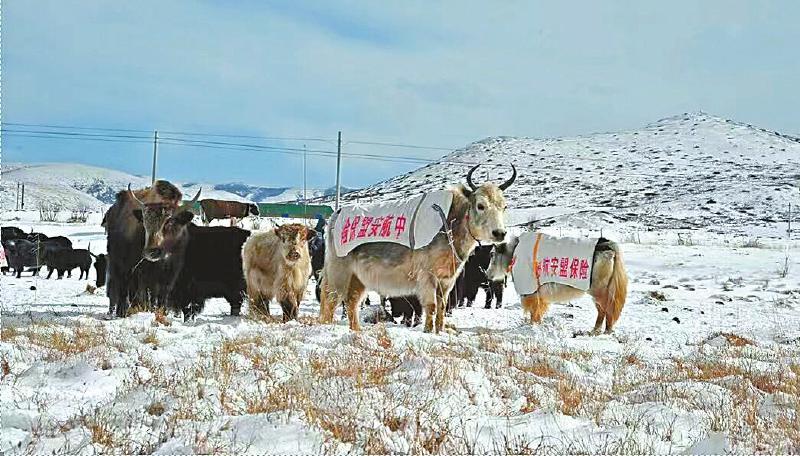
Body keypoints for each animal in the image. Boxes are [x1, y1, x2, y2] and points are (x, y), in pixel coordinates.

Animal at [102, 180, 196, 317]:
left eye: (170, 222)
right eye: (144, 224)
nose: (151, 252)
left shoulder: (171, 273)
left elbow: (162, 295)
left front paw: (162, 312)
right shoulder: (144, 273)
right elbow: (149, 294)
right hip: (119, 264)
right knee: (120, 287)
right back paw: (120, 311)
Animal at [319, 164, 515, 333]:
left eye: (504, 206)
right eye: (480, 205)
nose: (500, 233)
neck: (451, 224)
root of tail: (336, 214)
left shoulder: (447, 280)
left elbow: (442, 305)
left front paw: (440, 330)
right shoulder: (427, 276)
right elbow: (431, 305)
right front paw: (428, 331)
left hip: (358, 277)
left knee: (352, 301)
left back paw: (357, 330)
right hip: (339, 271)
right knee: (330, 298)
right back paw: (327, 327)